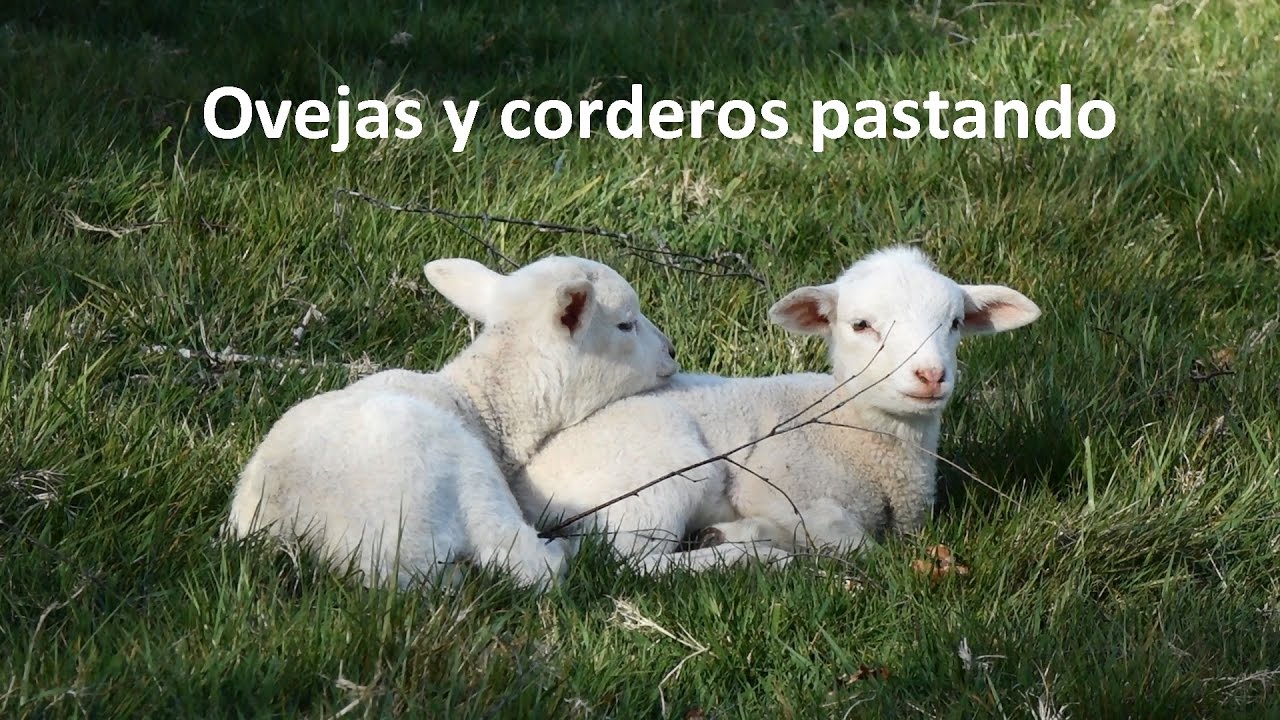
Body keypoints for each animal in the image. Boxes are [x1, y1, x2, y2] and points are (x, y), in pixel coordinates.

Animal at [513, 246, 1039, 565]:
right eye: (861, 325)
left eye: (955, 323)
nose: (930, 375)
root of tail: (526, 478)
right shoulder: (773, 485)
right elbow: (853, 544)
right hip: (658, 478)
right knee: (632, 564)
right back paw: (744, 557)